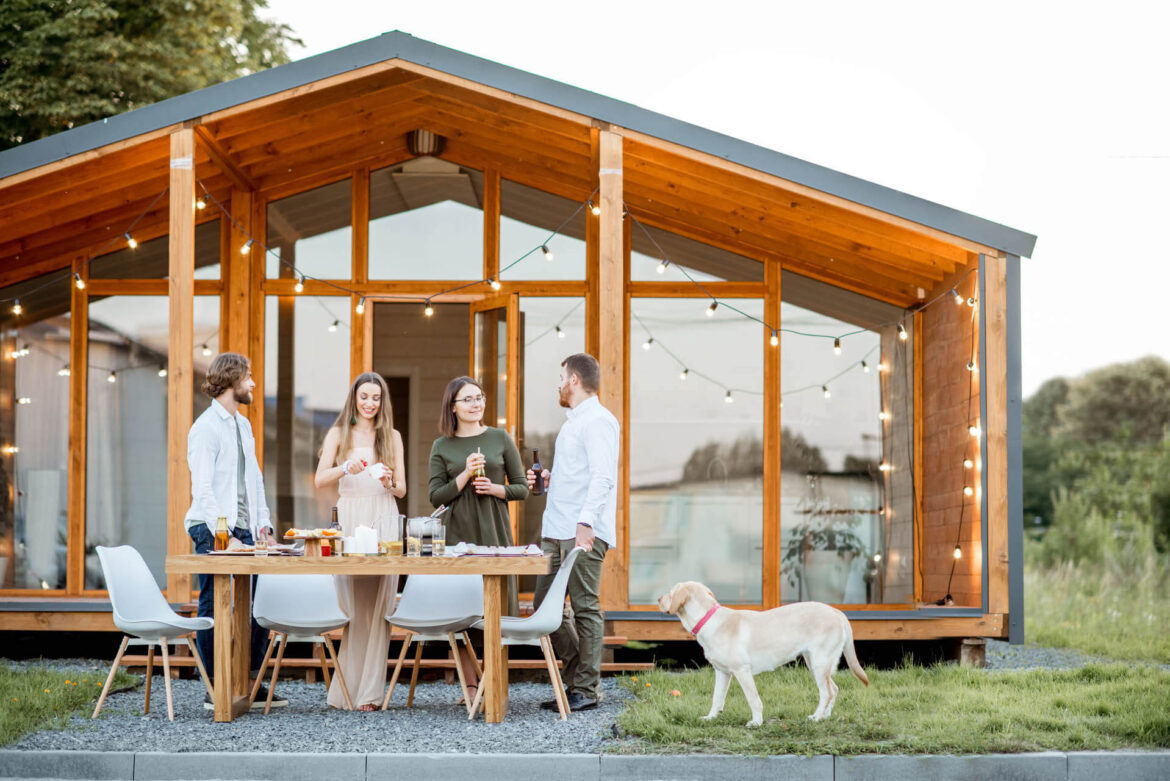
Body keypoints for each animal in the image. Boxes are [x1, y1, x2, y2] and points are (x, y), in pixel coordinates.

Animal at [659, 579, 870, 724]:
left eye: (670, 592)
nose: (658, 598)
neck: (709, 619)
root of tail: (839, 613)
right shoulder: (722, 672)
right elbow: (717, 698)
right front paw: (711, 718)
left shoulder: (742, 671)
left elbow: (753, 699)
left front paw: (756, 722)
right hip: (815, 664)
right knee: (833, 689)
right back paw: (824, 716)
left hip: (819, 663)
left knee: (827, 692)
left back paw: (817, 718)